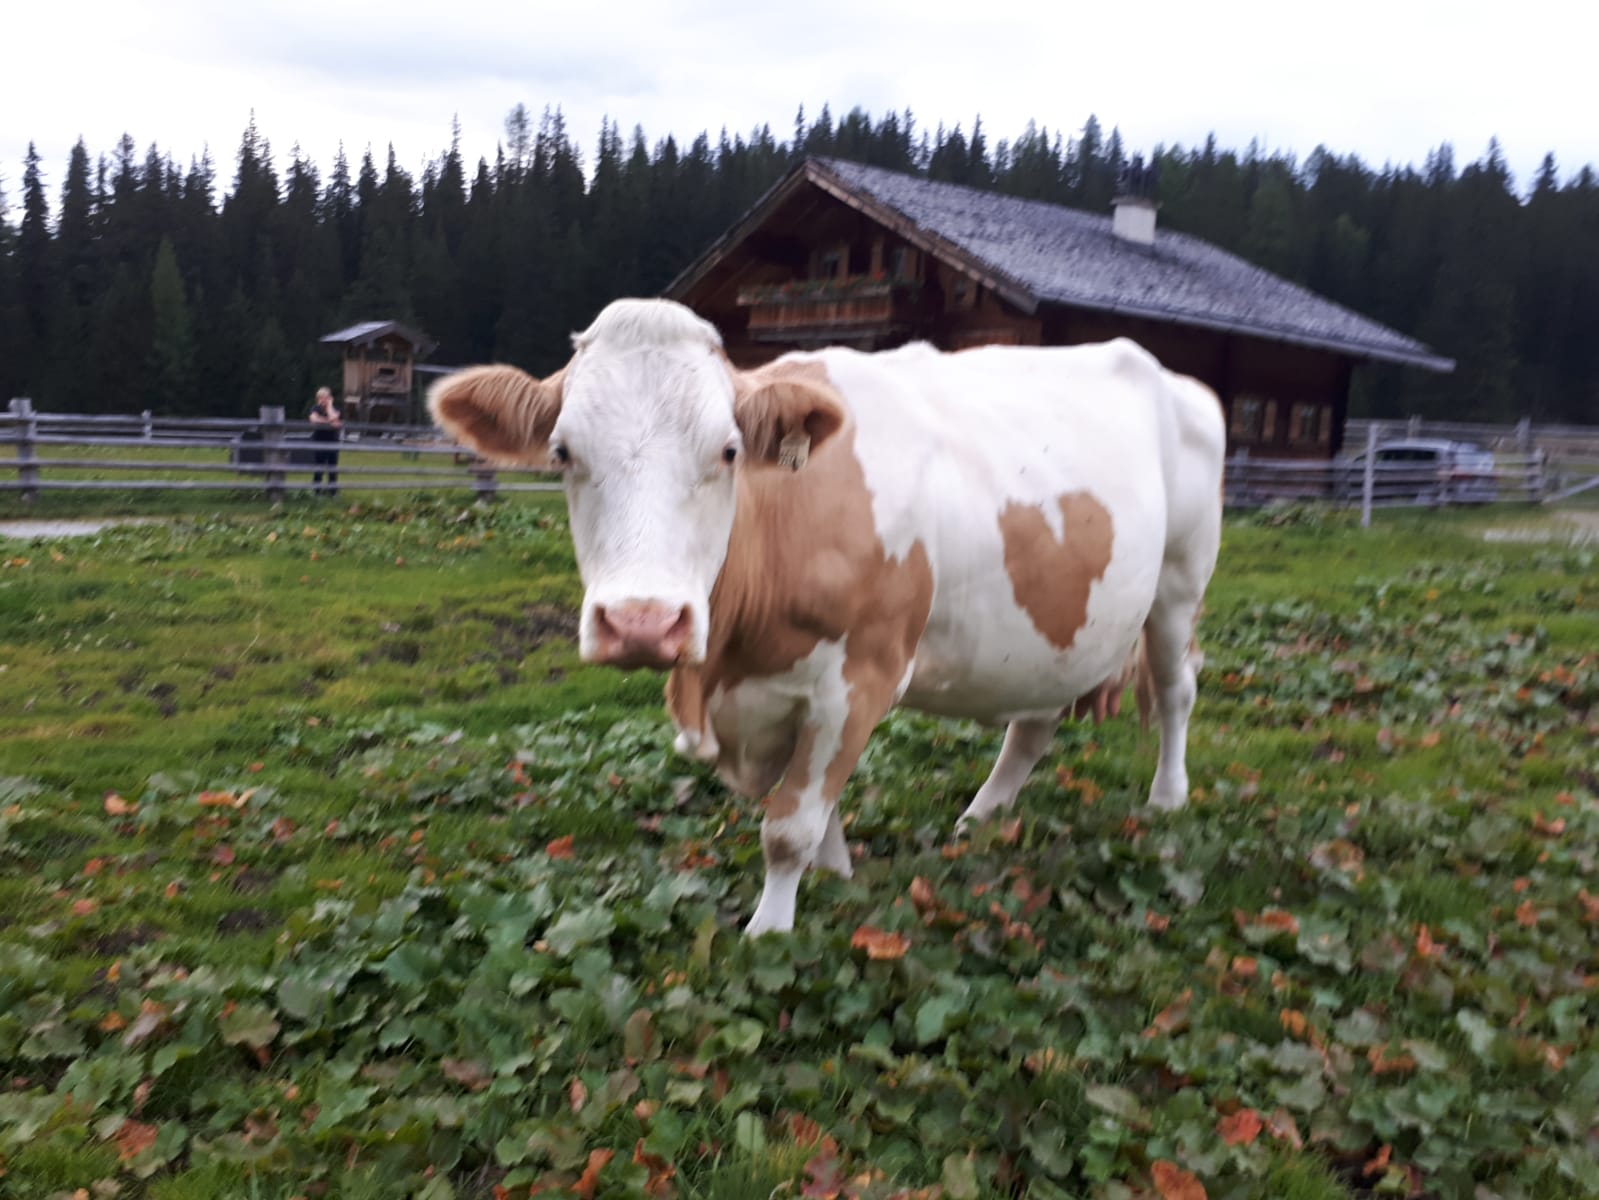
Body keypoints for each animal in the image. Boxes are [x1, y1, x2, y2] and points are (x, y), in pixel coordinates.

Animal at [429, 298, 1226, 936]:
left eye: (727, 450)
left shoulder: (859, 678)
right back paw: (981, 818)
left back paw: (1167, 799)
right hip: (1057, 628)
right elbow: (818, 809)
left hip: (1180, 581)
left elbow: (789, 826)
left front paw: (769, 935)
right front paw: (837, 877)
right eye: (563, 452)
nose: (643, 622)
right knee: (1033, 724)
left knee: (1177, 689)